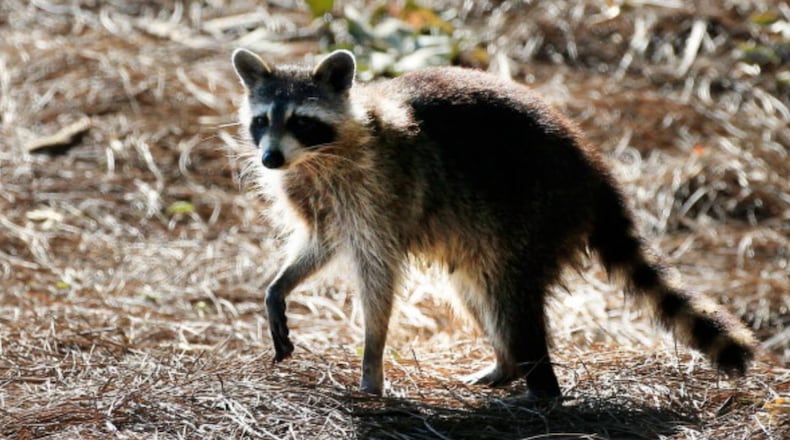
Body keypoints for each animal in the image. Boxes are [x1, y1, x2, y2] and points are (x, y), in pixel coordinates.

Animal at [230, 48, 756, 398]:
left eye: (301, 121)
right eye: (262, 121)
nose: (270, 158)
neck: (315, 158)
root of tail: (593, 168)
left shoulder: (378, 193)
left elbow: (377, 278)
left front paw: (372, 358)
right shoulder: (318, 198)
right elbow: (320, 243)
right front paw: (280, 286)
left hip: (535, 213)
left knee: (511, 300)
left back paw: (542, 386)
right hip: (483, 234)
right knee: (476, 291)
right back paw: (506, 366)